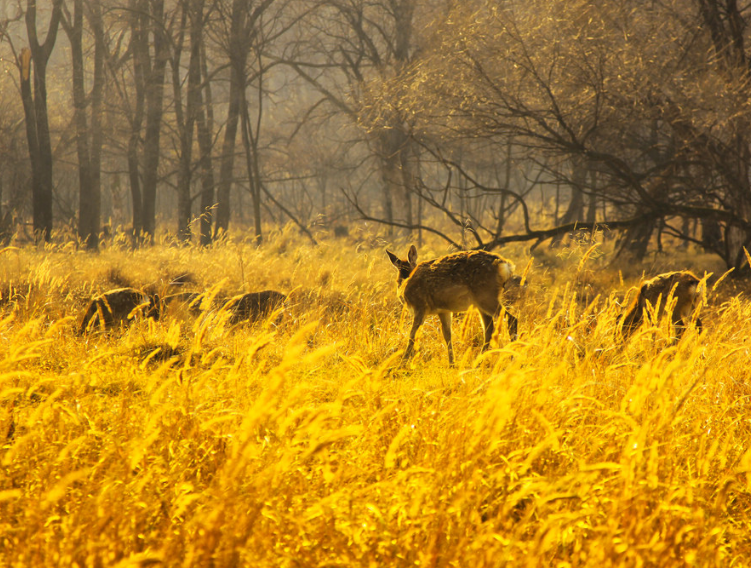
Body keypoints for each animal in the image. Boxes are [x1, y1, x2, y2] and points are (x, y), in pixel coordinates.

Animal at [388, 246, 516, 366]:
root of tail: (505, 265)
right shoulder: (443, 310)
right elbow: (447, 335)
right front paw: (451, 363)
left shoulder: (420, 306)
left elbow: (412, 335)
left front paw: (402, 364)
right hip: (482, 302)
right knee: (489, 329)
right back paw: (479, 362)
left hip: (486, 295)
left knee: (511, 318)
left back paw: (513, 357)